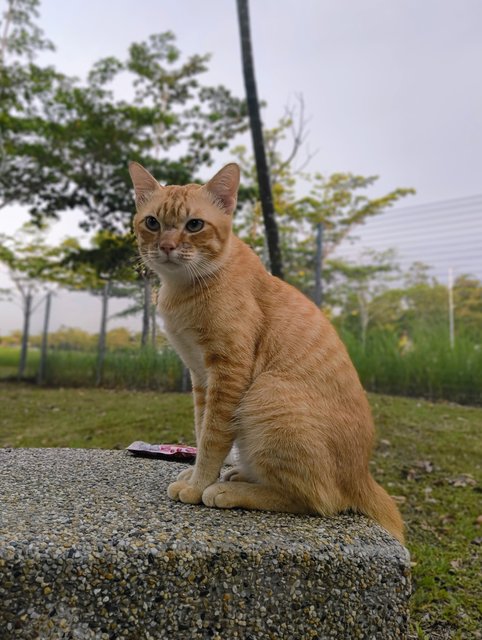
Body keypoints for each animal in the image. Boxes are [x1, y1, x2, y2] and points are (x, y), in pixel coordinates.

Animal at [130, 161, 404, 544]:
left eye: (194, 225)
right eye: (152, 222)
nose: (167, 246)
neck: (184, 287)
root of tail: (362, 476)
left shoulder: (228, 372)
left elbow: (213, 437)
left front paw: (199, 483)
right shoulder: (200, 378)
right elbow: (201, 429)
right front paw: (198, 474)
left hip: (266, 394)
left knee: (318, 501)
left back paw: (230, 490)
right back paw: (240, 475)